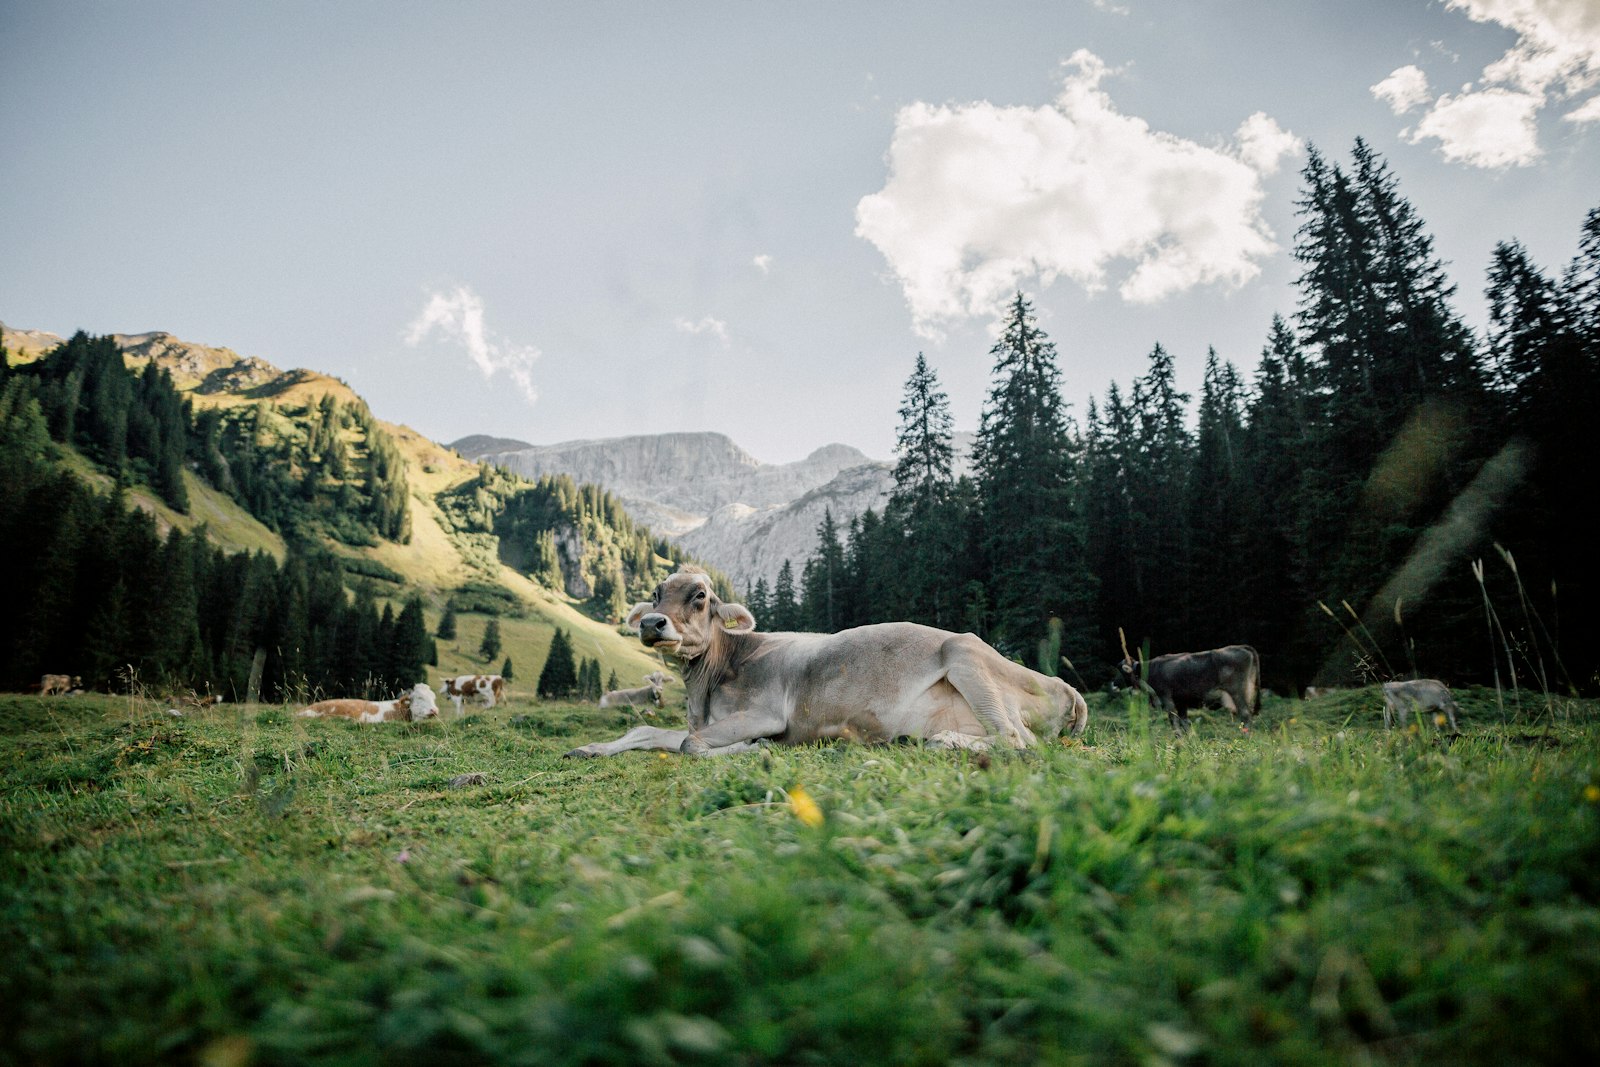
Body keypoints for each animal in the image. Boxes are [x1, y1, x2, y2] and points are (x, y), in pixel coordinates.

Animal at [563, 566, 1088, 758]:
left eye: (700, 596)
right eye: (655, 593)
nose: (653, 624)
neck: (706, 689)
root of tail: (1066, 687)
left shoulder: (765, 712)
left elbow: (691, 745)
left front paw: (753, 748)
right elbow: (650, 731)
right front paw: (590, 748)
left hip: (965, 654)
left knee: (1017, 739)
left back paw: (941, 742)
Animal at [1113, 643, 1260, 735]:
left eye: (1122, 671)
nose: (1113, 684)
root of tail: (1242, 647)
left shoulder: (1167, 699)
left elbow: (1174, 722)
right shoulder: (1181, 703)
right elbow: (1185, 723)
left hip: (1237, 693)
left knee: (1245, 715)